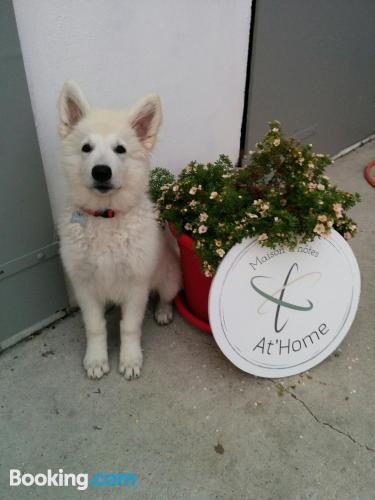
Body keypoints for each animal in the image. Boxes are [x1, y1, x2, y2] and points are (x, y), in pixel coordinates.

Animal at [57, 81, 182, 378]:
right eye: (86, 147)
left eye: (120, 149)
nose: (101, 172)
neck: (106, 216)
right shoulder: (85, 285)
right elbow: (95, 327)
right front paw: (96, 359)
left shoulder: (136, 285)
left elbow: (129, 327)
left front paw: (130, 359)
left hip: (170, 280)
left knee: (166, 298)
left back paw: (163, 312)